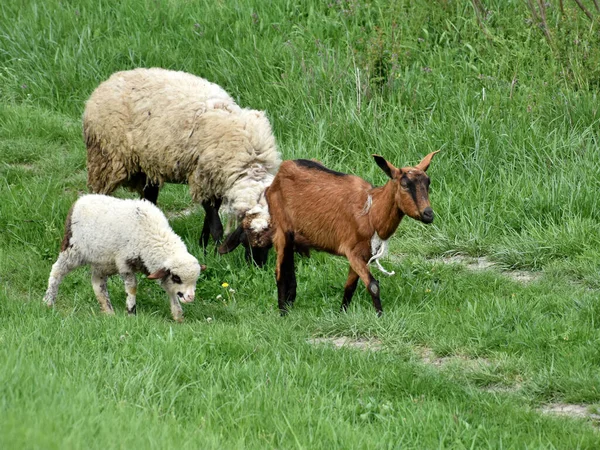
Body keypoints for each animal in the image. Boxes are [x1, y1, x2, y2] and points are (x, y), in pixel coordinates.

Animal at [42, 195, 204, 322]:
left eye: (195, 280)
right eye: (177, 278)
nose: (190, 297)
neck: (152, 236)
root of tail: (80, 199)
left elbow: (170, 291)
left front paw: (178, 315)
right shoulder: (124, 262)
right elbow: (132, 287)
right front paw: (131, 312)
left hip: (104, 261)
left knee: (97, 282)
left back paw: (108, 312)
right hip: (73, 249)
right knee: (57, 271)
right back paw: (48, 301)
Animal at [82, 67, 282, 266]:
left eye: (270, 242)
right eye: (245, 238)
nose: (257, 266)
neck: (250, 161)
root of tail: (109, 80)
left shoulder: (214, 182)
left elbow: (209, 220)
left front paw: (204, 248)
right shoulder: (201, 178)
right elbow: (215, 225)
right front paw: (217, 255)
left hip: (147, 169)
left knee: (149, 200)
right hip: (105, 160)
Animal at [264, 154, 438, 316]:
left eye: (428, 182)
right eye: (405, 185)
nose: (428, 214)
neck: (371, 212)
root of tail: (280, 173)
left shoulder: (364, 254)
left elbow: (350, 286)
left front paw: (342, 314)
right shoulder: (353, 252)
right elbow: (373, 285)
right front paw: (380, 317)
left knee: (289, 272)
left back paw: (289, 305)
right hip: (282, 230)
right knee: (279, 272)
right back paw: (283, 313)